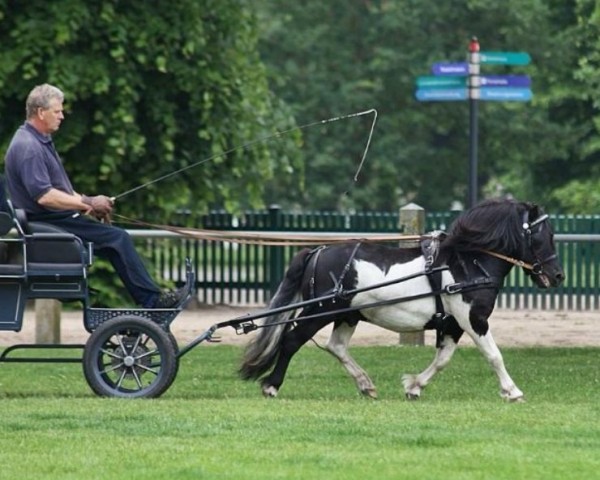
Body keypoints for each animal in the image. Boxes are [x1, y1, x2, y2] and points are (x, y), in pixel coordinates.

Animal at [238, 198, 564, 402]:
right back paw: (271, 386)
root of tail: (317, 251)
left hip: (347, 315)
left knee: (336, 346)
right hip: (320, 312)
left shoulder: (453, 325)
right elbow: (494, 354)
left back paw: (366, 385)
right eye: (544, 235)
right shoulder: (473, 319)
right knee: (291, 341)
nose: (558, 275)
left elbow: (443, 359)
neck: (467, 263)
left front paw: (414, 387)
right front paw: (513, 391)